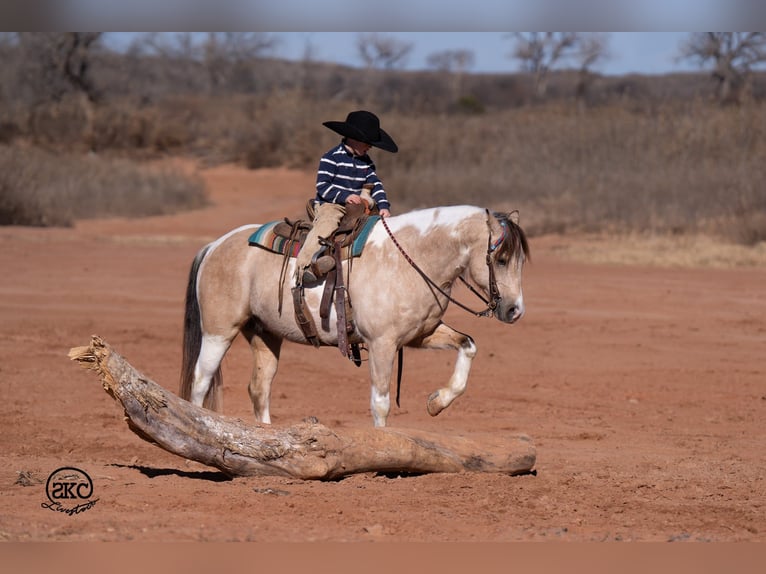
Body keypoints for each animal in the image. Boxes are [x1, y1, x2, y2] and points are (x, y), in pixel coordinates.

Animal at [179, 205, 530, 427]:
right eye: (500, 259)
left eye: (520, 261)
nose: (515, 310)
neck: (409, 260)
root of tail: (214, 245)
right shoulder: (382, 343)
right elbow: (381, 402)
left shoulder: (420, 334)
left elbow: (468, 344)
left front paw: (437, 402)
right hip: (219, 331)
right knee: (201, 381)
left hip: (265, 334)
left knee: (259, 387)